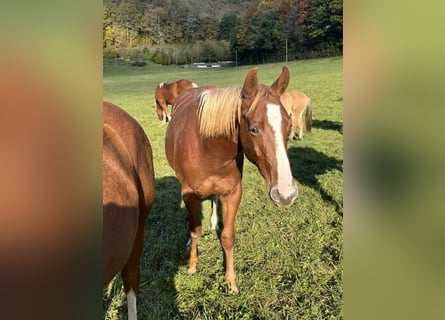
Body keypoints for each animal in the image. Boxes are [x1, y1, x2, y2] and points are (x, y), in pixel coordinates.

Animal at [165, 67, 296, 296]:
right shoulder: (189, 194)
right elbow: (195, 229)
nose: (286, 194)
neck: (208, 146)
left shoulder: (233, 193)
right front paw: (192, 265)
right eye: (254, 129)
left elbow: (228, 237)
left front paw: (231, 281)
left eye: (288, 126)